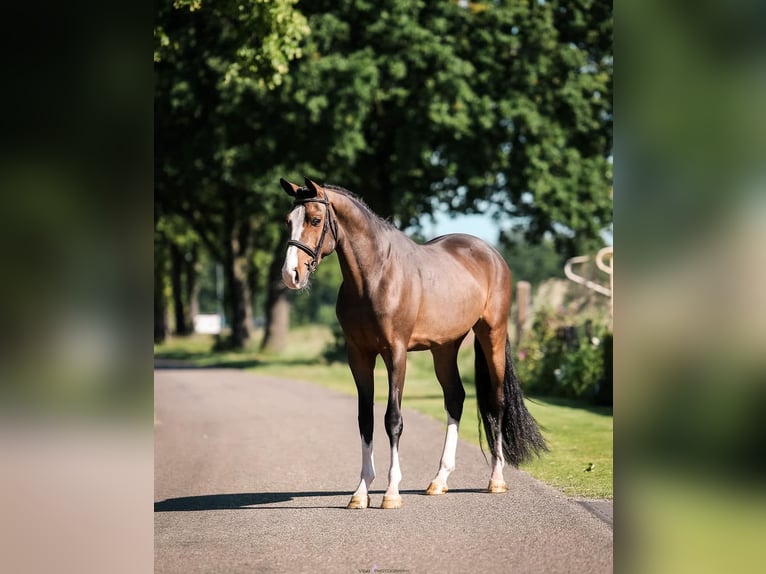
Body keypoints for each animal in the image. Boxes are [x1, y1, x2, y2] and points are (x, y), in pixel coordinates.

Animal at [280, 178, 544, 510]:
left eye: (315, 220)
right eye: (288, 221)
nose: (291, 274)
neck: (375, 276)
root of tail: (491, 254)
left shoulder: (396, 353)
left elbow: (393, 419)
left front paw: (392, 492)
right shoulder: (359, 355)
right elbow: (365, 419)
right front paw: (361, 492)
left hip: (491, 334)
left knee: (496, 402)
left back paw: (496, 479)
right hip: (445, 347)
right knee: (455, 398)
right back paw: (439, 481)